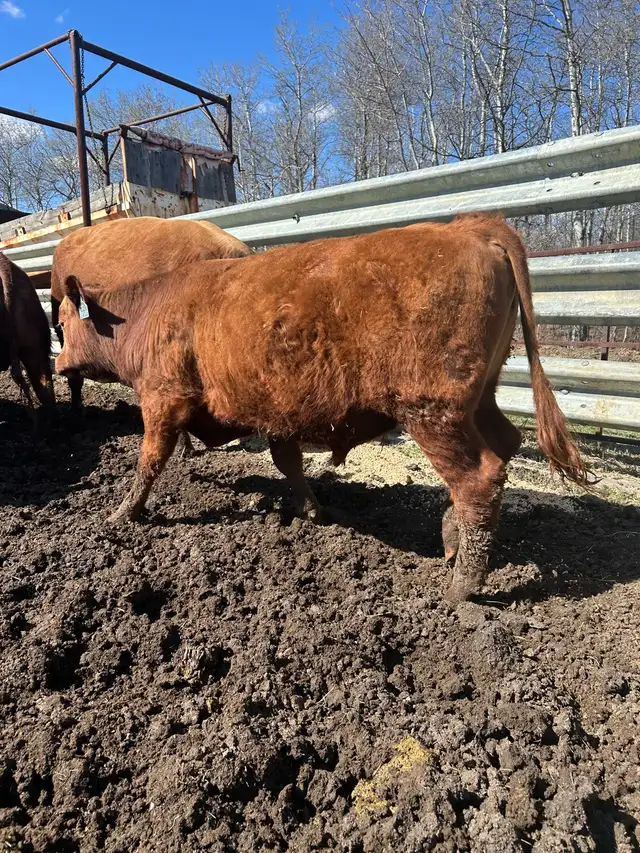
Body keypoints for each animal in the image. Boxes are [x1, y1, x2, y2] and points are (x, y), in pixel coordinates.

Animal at [55, 214, 590, 603]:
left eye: (62, 320)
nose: (59, 363)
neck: (146, 312)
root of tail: (465, 226)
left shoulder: (162, 401)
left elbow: (148, 462)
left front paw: (121, 514)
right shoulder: (277, 414)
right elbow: (287, 462)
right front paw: (313, 511)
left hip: (434, 414)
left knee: (478, 479)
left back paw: (460, 587)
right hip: (480, 401)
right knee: (504, 447)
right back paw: (451, 538)